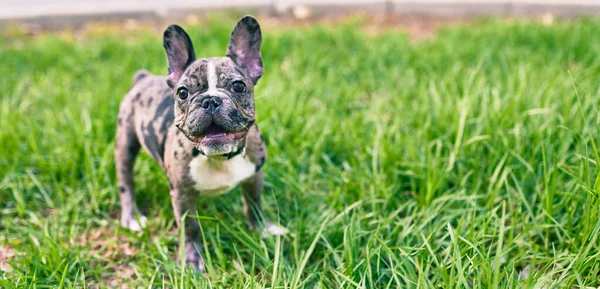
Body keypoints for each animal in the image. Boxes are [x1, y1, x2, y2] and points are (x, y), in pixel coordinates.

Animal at [116, 16, 288, 272]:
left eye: (239, 86)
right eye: (183, 93)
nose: (210, 101)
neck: (219, 157)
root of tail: (143, 78)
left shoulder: (253, 175)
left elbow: (254, 204)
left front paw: (262, 229)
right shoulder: (182, 194)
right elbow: (190, 228)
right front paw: (191, 259)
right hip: (125, 142)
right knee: (126, 181)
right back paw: (131, 218)